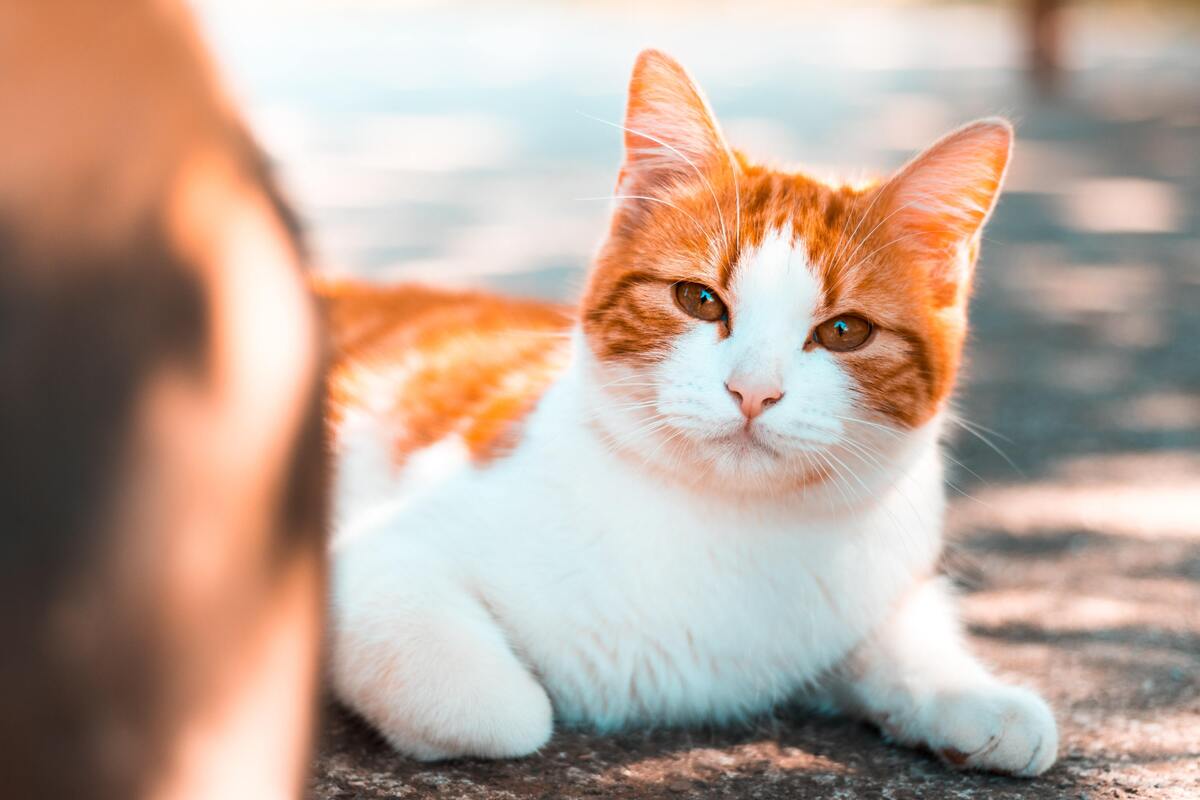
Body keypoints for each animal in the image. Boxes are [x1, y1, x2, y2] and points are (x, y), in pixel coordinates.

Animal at [321, 48, 1060, 777]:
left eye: (846, 331)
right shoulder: (382, 557)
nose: (753, 392)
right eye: (698, 300)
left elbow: (901, 627)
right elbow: (497, 713)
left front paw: (971, 694)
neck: (724, 524)